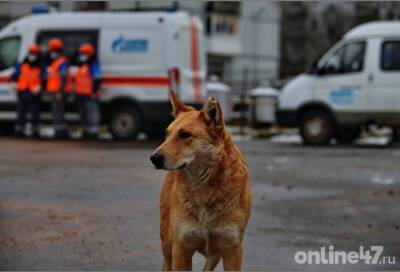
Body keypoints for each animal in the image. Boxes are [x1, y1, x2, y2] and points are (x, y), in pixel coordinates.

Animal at [152, 92, 252, 270]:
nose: (153, 158)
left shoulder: (233, 248)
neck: (204, 187)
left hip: (215, 253)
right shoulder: (181, 248)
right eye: (166, 134)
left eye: (184, 134)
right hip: (168, 243)